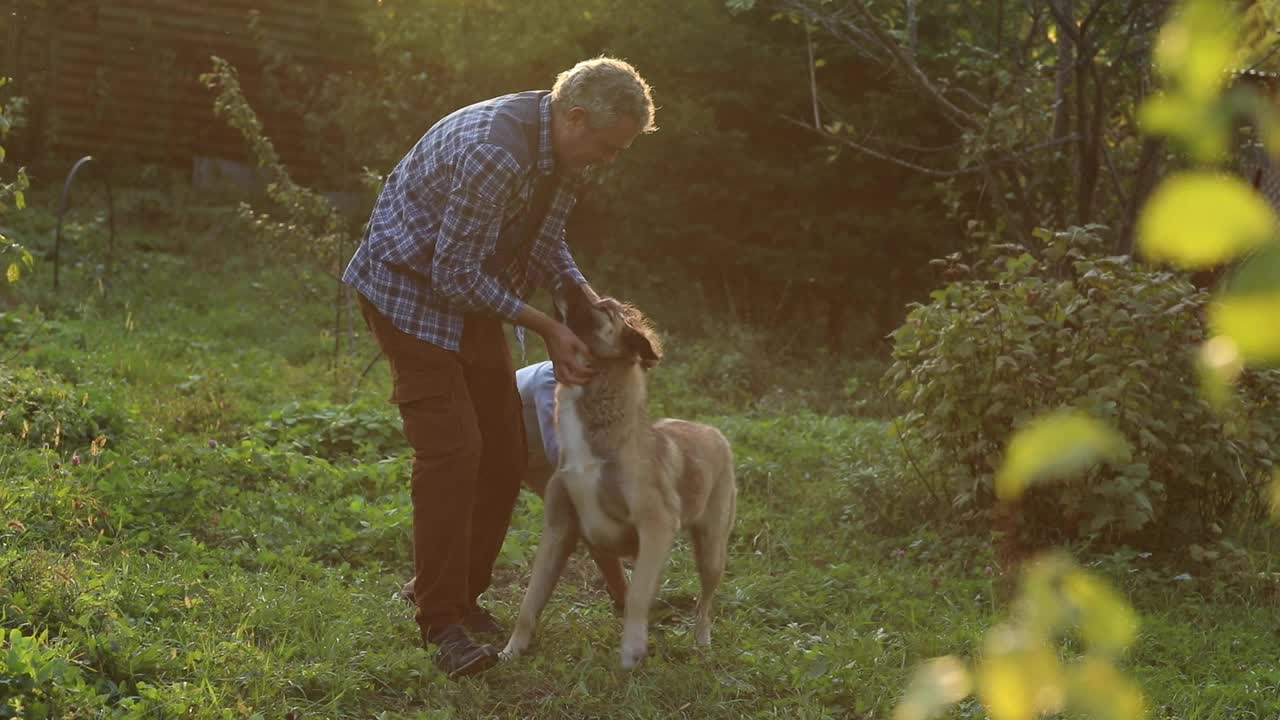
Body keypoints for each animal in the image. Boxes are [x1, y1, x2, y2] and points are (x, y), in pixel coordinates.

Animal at [501, 281, 742, 666]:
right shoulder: (558, 529)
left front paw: (631, 649)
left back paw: (702, 642)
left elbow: (638, 596)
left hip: (712, 549)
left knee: (706, 602)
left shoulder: (656, 523)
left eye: (605, 309)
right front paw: (511, 650)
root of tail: (712, 431)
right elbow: (529, 602)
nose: (565, 280)